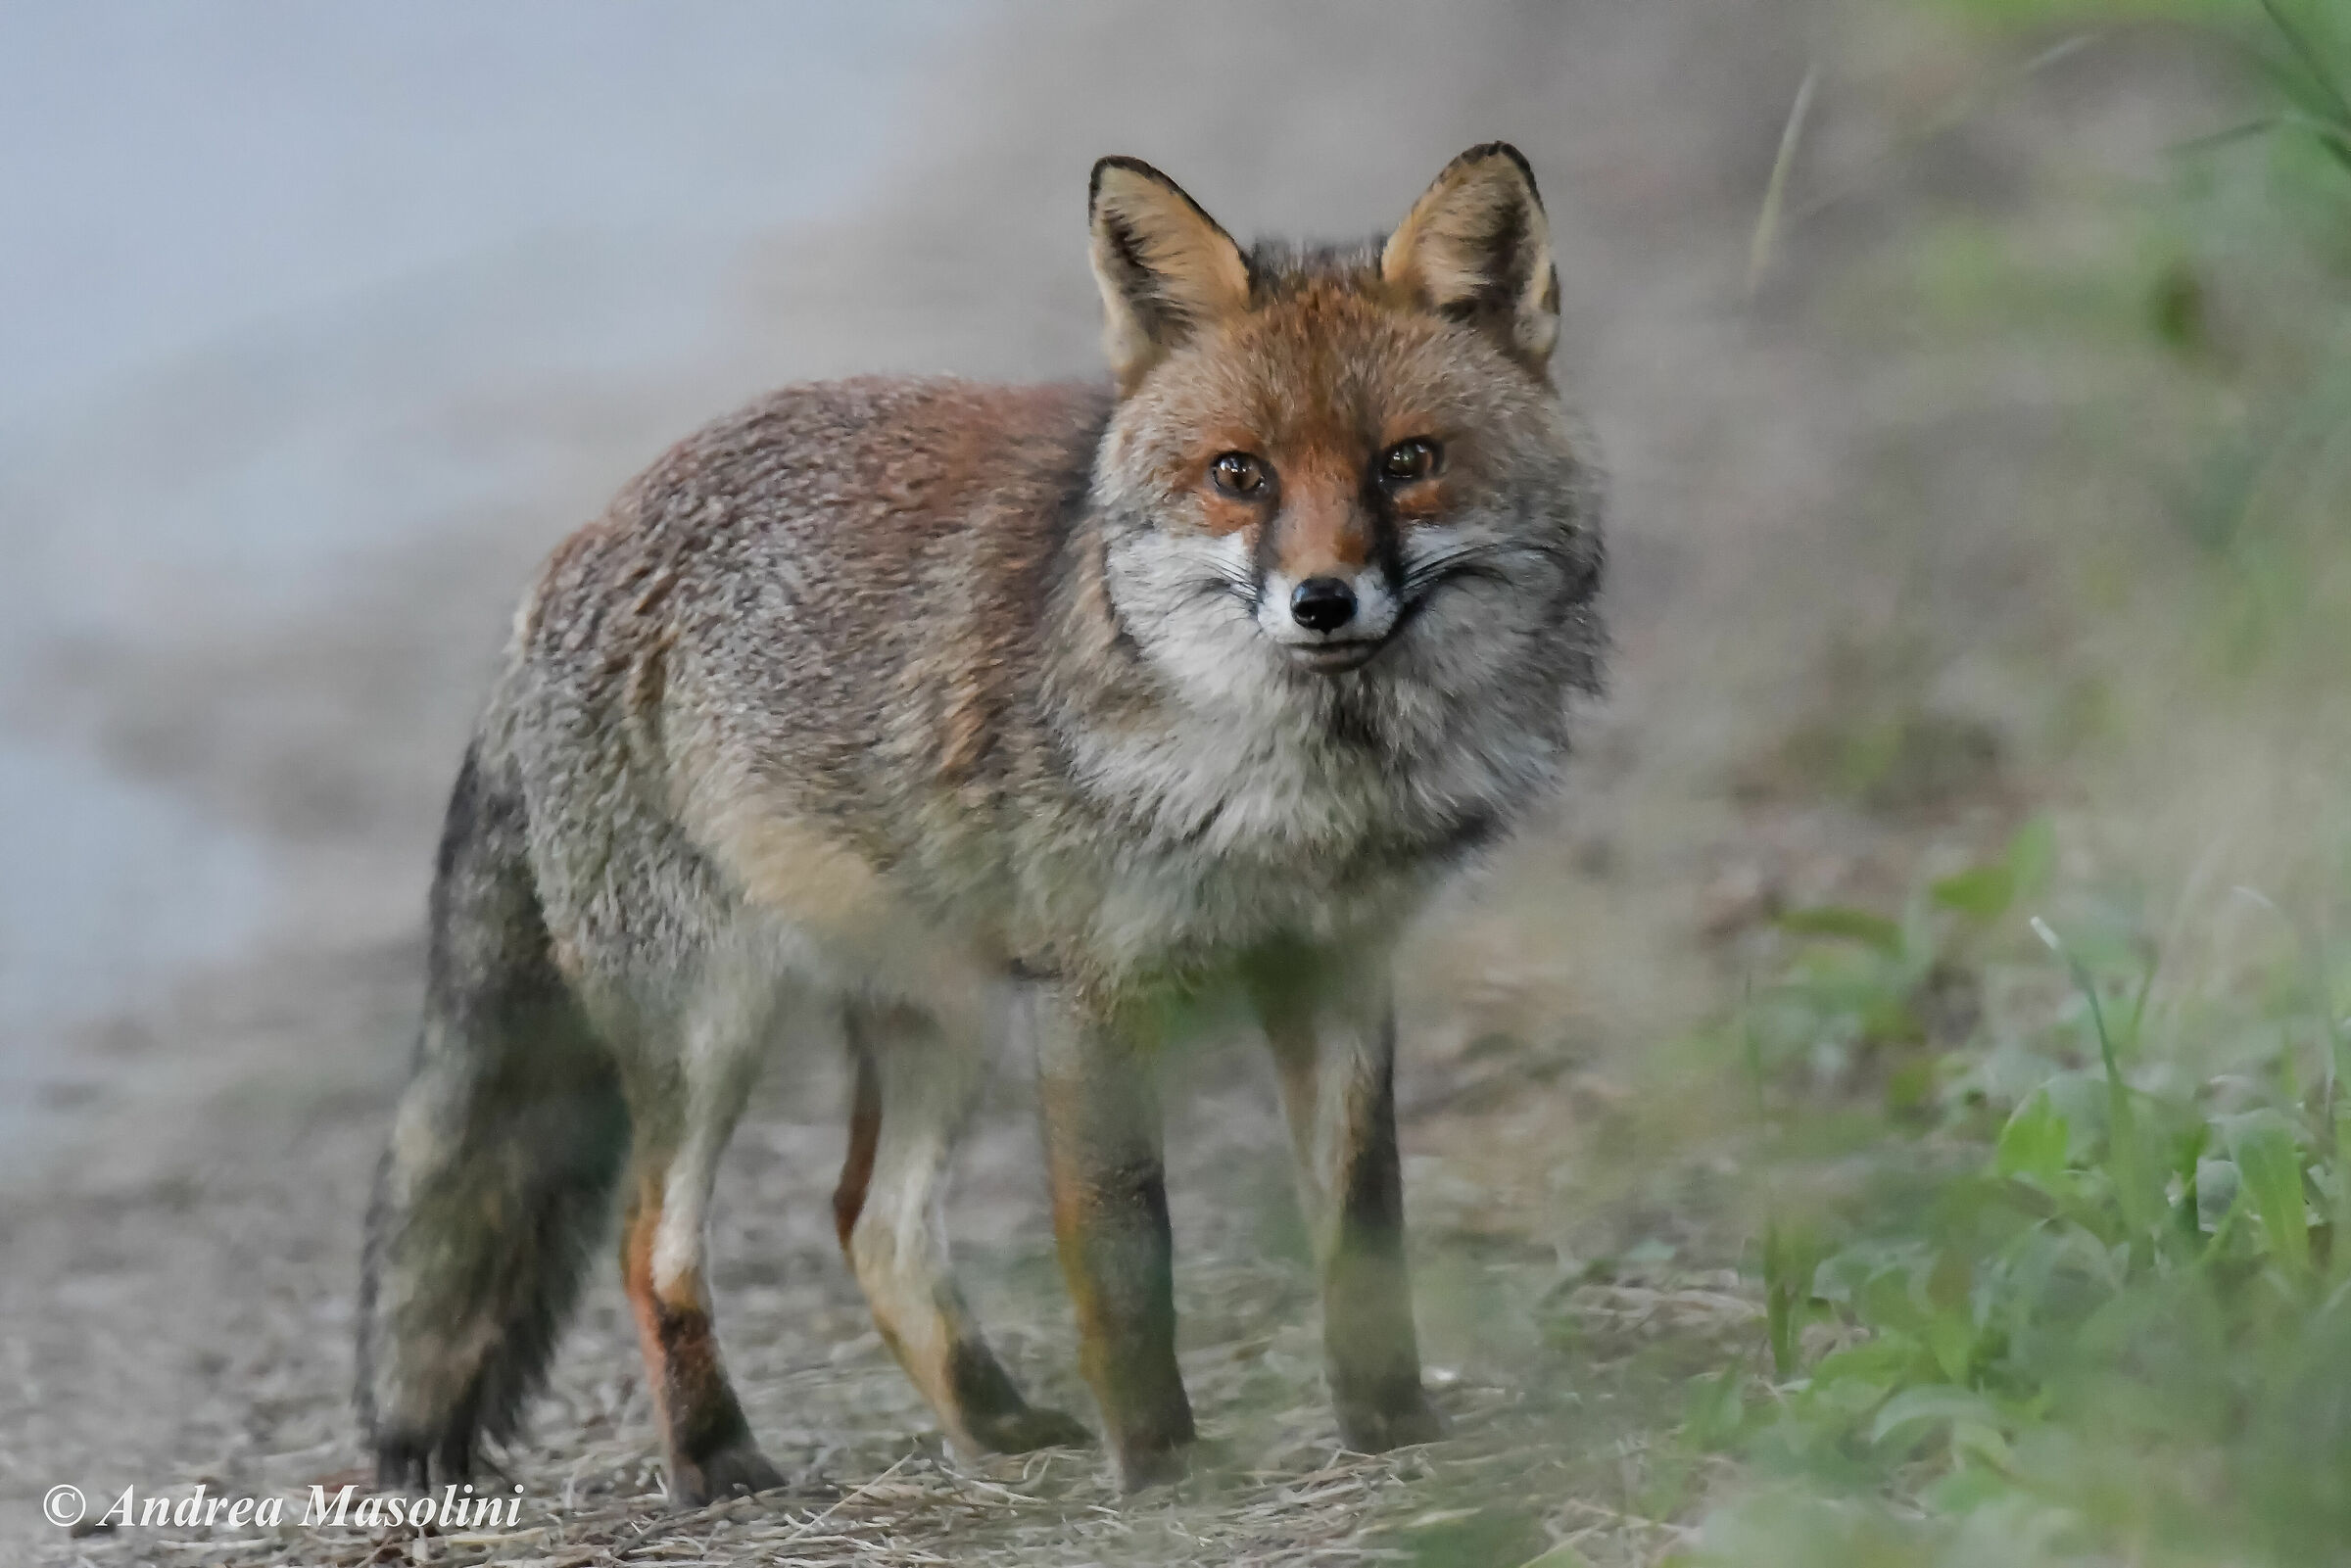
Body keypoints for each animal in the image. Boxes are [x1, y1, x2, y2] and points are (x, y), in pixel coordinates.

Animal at [355, 142, 1604, 1503]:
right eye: (1240, 475)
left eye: (1405, 461)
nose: (1322, 602)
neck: (1299, 794)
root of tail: (568, 555)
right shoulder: (1098, 989)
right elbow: (1125, 1249)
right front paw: (1157, 1463)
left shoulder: (1334, 966)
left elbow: (1366, 1217)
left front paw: (1389, 1422)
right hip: (712, 1022)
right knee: (655, 1242)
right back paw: (715, 1455)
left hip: (943, 1015)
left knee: (869, 1219)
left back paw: (992, 1419)